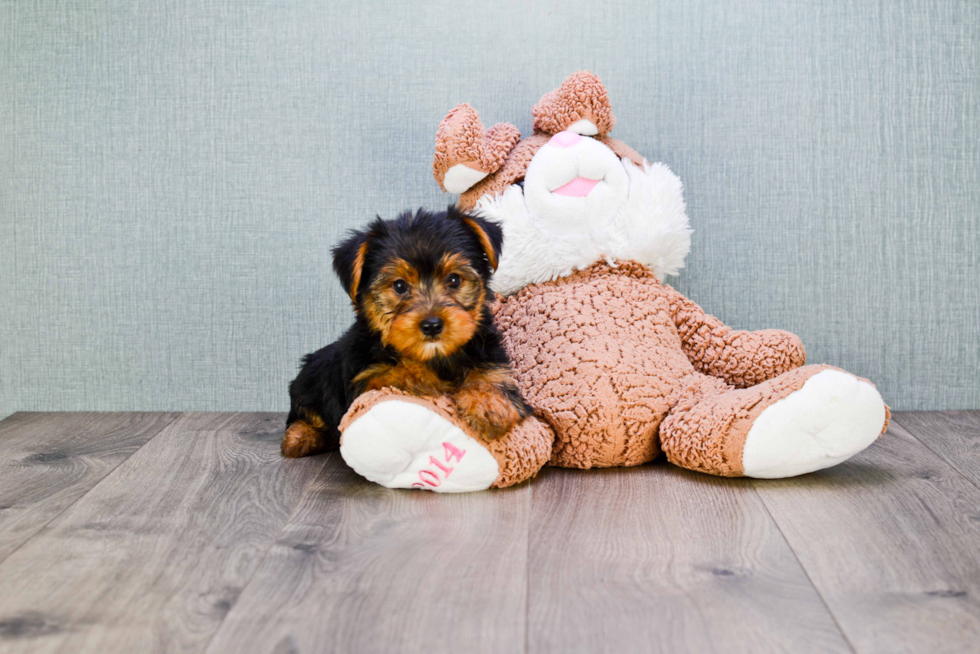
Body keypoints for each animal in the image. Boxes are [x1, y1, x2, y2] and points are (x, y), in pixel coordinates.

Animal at [284, 208, 528, 458]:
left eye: (454, 280)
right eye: (399, 286)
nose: (432, 325)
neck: (436, 356)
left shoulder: (494, 364)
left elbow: (492, 381)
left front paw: (488, 405)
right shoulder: (364, 381)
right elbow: (393, 373)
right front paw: (425, 379)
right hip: (308, 384)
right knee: (303, 415)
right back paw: (300, 437)